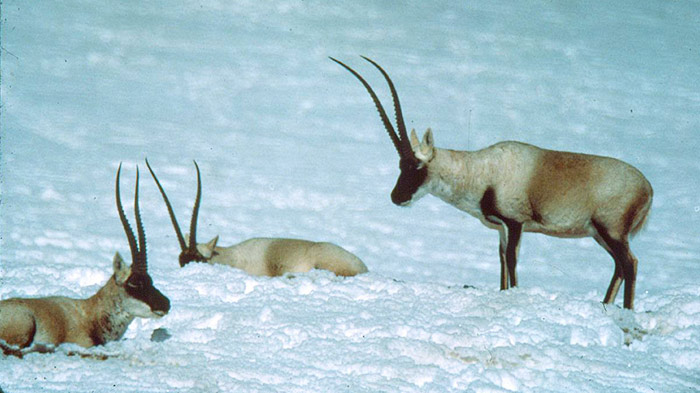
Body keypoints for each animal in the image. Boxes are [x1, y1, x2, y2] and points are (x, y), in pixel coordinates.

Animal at [330, 56, 652, 308]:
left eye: (417, 167)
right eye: (400, 165)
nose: (397, 198)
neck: (482, 171)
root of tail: (647, 188)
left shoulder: (515, 223)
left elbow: (512, 261)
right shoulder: (500, 229)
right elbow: (501, 265)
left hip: (610, 231)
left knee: (630, 264)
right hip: (601, 234)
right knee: (620, 266)